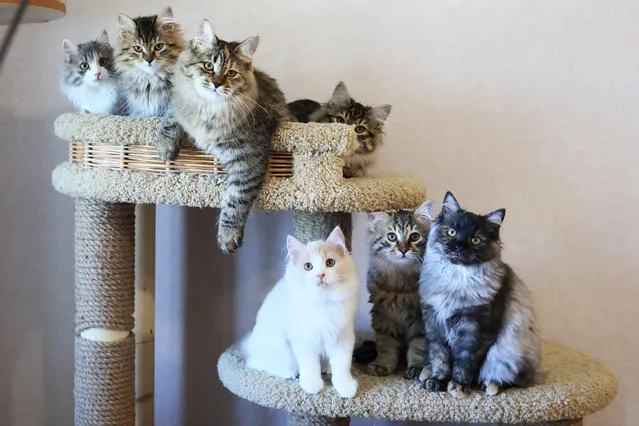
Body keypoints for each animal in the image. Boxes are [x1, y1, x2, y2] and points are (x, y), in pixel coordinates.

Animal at [156, 20, 292, 253]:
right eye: (208, 66)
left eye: (231, 73)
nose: (217, 84)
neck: (209, 110)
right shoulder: (180, 104)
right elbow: (172, 120)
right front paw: (166, 148)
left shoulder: (249, 159)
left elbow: (235, 201)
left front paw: (228, 237)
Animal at [242, 228, 360, 398]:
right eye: (308, 266)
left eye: (330, 263)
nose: (320, 275)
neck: (323, 301)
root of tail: (249, 346)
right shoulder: (304, 340)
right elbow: (310, 366)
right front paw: (312, 385)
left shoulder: (343, 337)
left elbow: (342, 366)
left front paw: (345, 387)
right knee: (259, 364)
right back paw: (290, 373)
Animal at [360, 201, 436, 380]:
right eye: (392, 237)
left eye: (414, 237)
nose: (403, 250)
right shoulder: (383, 314)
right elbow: (386, 345)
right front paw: (383, 365)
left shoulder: (421, 318)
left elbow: (419, 346)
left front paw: (416, 368)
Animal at [420, 193, 540, 400]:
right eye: (451, 232)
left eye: (475, 240)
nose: (459, 246)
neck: (454, 281)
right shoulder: (434, 326)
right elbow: (440, 359)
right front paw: (438, 381)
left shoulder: (476, 332)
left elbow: (464, 364)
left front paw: (458, 386)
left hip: (512, 347)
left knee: (511, 378)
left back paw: (490, 385)